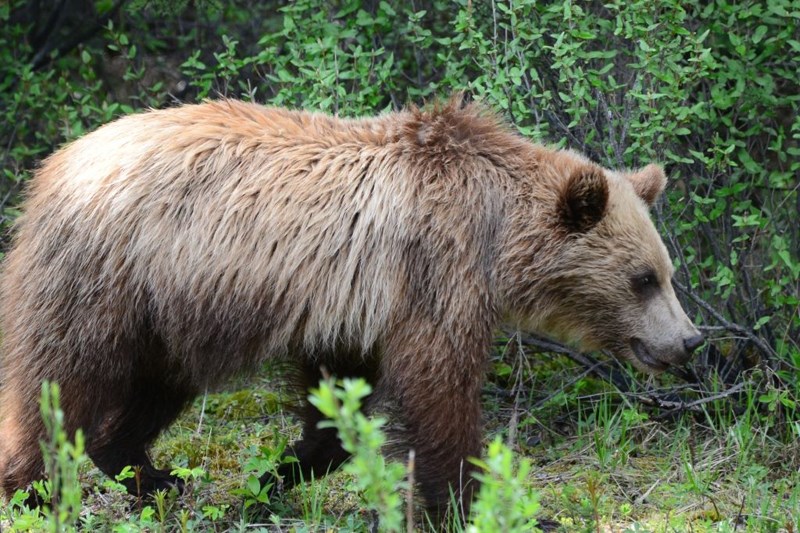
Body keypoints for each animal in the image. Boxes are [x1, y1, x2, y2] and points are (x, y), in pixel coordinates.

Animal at [0, 95, 700, 516]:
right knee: (58, 381)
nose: (689, 341)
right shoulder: (434, 272)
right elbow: (437, 391)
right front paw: (461, 503)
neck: (496, 235)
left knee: (151, 387)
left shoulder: (350, 310)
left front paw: (275, 476)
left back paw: (150, 477)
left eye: (667, 274)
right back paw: (32, 488)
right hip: (109, 277)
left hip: (169, 314)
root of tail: (55, 162)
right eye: (642, 278)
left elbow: (339, 399)